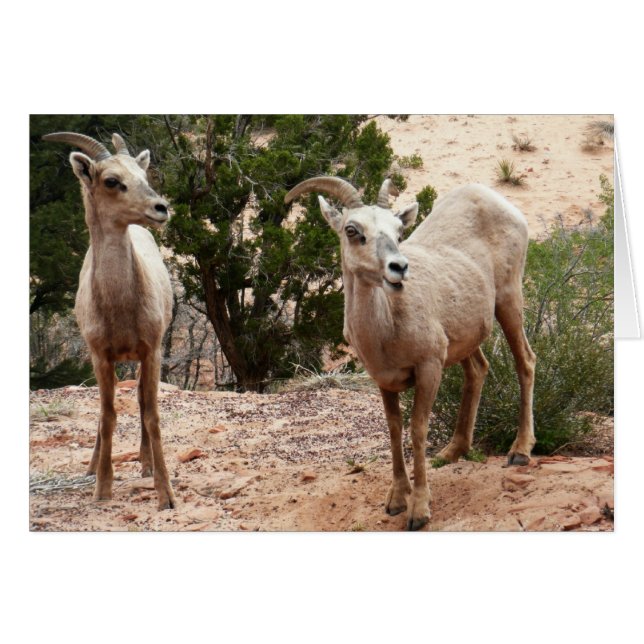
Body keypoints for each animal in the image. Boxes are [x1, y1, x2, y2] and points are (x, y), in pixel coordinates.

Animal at [42, 132, 176, 509]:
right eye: (111, 181)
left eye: (143, 174)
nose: (161, 208)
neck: (120, 307)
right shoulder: (100, 354)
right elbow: (107, 414)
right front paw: (102, 487)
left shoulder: (152, 350)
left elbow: (151, 413)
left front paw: (165, 494)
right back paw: (91, 467)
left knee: (142, 402)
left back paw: (146, 464)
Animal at [285, 176, 536, 530]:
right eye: (352, 229)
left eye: (398, 231)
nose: (399, 268)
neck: (386, 327)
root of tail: (492, 197)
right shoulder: (384, 380)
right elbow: (394, 430)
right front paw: (395, 501)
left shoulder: (429, 368)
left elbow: (417, 429)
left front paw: (418, 510)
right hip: (465, 337)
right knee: (478, 369)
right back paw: (451, 452)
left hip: (509, 300)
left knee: (525, 361)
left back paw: (520, 451)